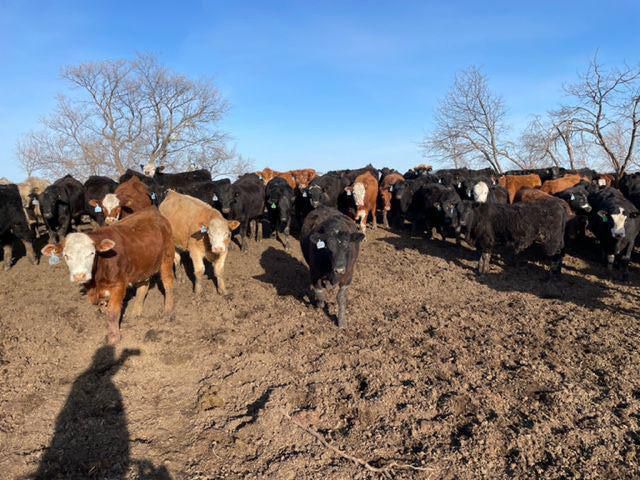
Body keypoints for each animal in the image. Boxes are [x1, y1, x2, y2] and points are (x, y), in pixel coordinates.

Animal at [41, 207, 175, 344]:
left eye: (92, 253)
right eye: (66, 255)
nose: (80, 276)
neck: (96, 283)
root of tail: (153, 212)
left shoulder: (119, 285)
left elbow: (112, 312)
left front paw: (114, 337)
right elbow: (105, 309)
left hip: (167, 258)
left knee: (168, 283)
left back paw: (168, 311)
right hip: (143, 264)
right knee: (144, 285)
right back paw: (136, 311)